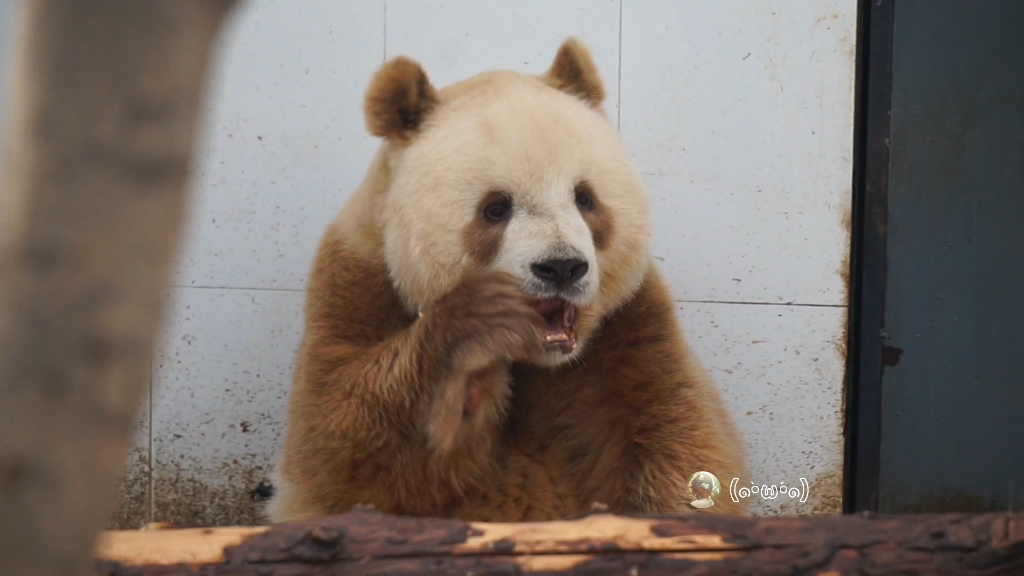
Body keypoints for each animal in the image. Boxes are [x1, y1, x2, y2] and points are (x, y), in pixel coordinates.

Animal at [266, 35, 745, 520]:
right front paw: (470, 347)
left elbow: (679, 439)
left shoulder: (630, 330)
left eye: (585, 198)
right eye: (495, 208)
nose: (561, 268)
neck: (535, 360)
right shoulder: (356, 284)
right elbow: (335, 447)